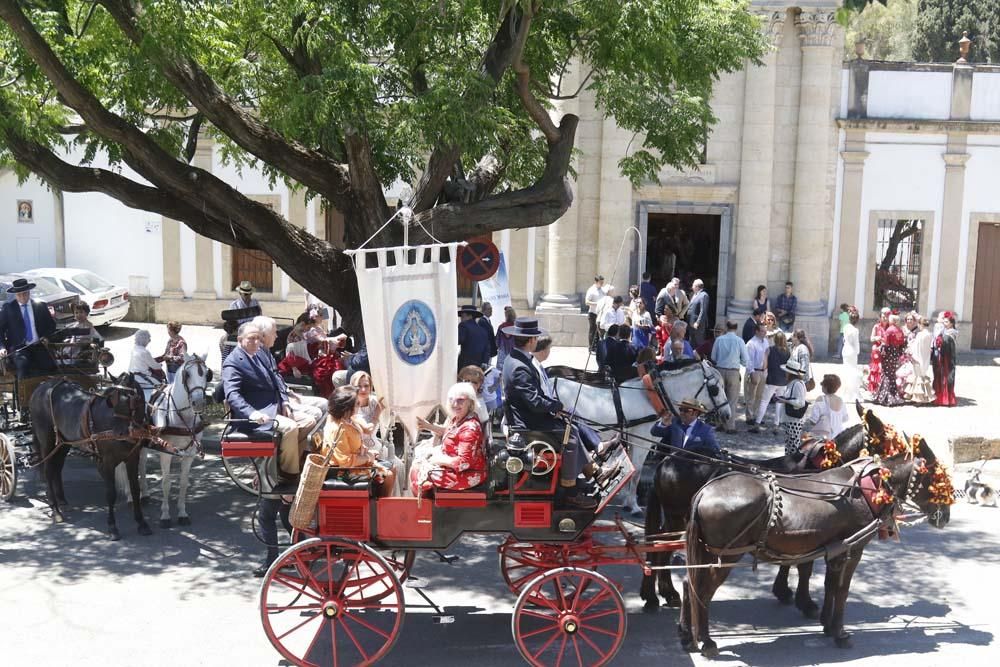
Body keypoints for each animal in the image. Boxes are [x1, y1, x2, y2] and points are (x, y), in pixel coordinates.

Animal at [552, 360, 732, 512]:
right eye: (715, 389)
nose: (727, 415)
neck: (653, 397)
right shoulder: (642, 440)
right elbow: (637, 469)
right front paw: (633, 505)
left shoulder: (633, 439)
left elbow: (632, 466)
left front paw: (625, 497)